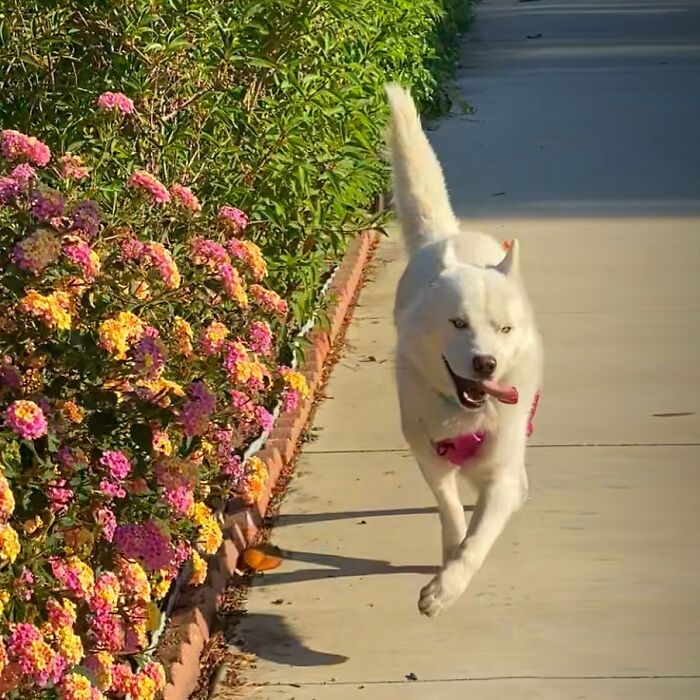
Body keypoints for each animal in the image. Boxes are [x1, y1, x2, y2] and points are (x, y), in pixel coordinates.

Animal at [386, 85, 544, 616]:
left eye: (505, 329)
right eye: (458, 323)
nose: (485, 363)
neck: (465, 415)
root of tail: (450, 236)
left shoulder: (498, 470)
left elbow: (480, 537)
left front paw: (448, 586)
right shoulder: (428, 454)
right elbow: (451, 511)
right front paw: (447, 562)